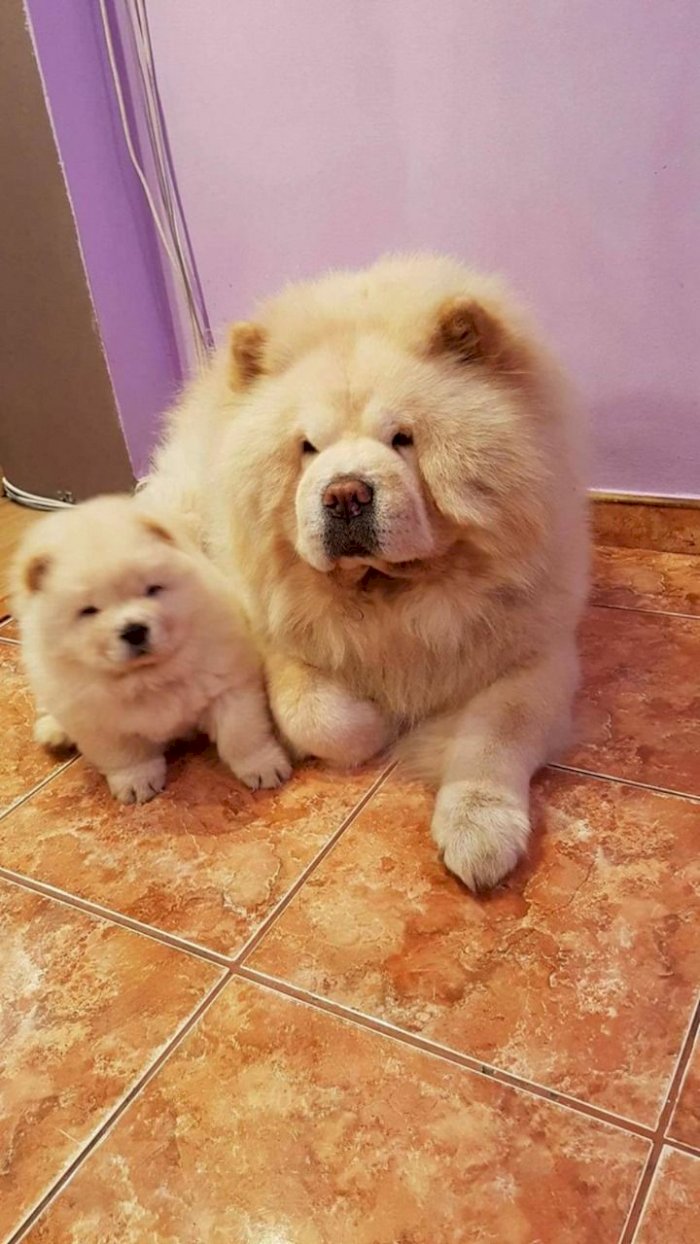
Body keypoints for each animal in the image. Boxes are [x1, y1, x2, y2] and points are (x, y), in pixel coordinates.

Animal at [145, 257, 589, 890]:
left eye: (403, 438)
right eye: (307, 447)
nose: (345, 494)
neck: (388, 594)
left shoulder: (534, 652)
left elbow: (496, 736)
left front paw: (478, 834)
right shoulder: (270, 636)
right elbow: (318, 715)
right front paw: (379, 725)